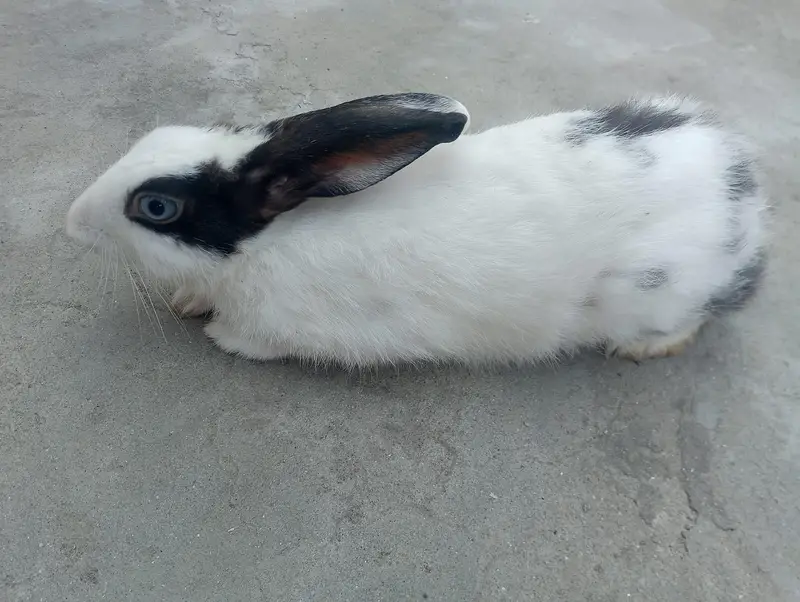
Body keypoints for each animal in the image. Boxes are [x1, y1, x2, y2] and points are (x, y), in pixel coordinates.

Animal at [65, 92, 768, 367]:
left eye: (157, 208)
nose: (73, 220)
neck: (264, 244)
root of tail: (745, 192)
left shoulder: (296, 325)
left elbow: (254, 340)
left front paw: (220, 336)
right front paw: (188, 303)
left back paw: (645, 350)